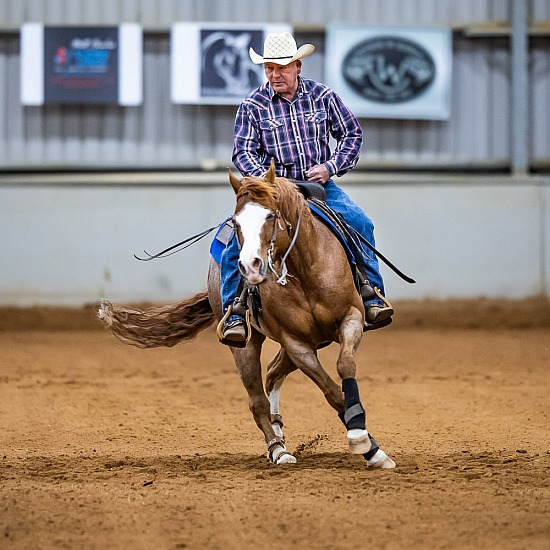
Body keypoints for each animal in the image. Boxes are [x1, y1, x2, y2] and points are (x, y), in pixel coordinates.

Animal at [100, 164, 396, 470]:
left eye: (270, 215)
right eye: (237, 221)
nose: (249, 265)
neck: (304, 271)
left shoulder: (350, 318)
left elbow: (345, 366)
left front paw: (369, 445)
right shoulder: (296, 342)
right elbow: (332, 392)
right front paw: (365, 444)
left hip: (313, 340)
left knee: (273, 373)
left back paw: (279, 432)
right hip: (247, 346)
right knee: (257, 399)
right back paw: (278, 449)